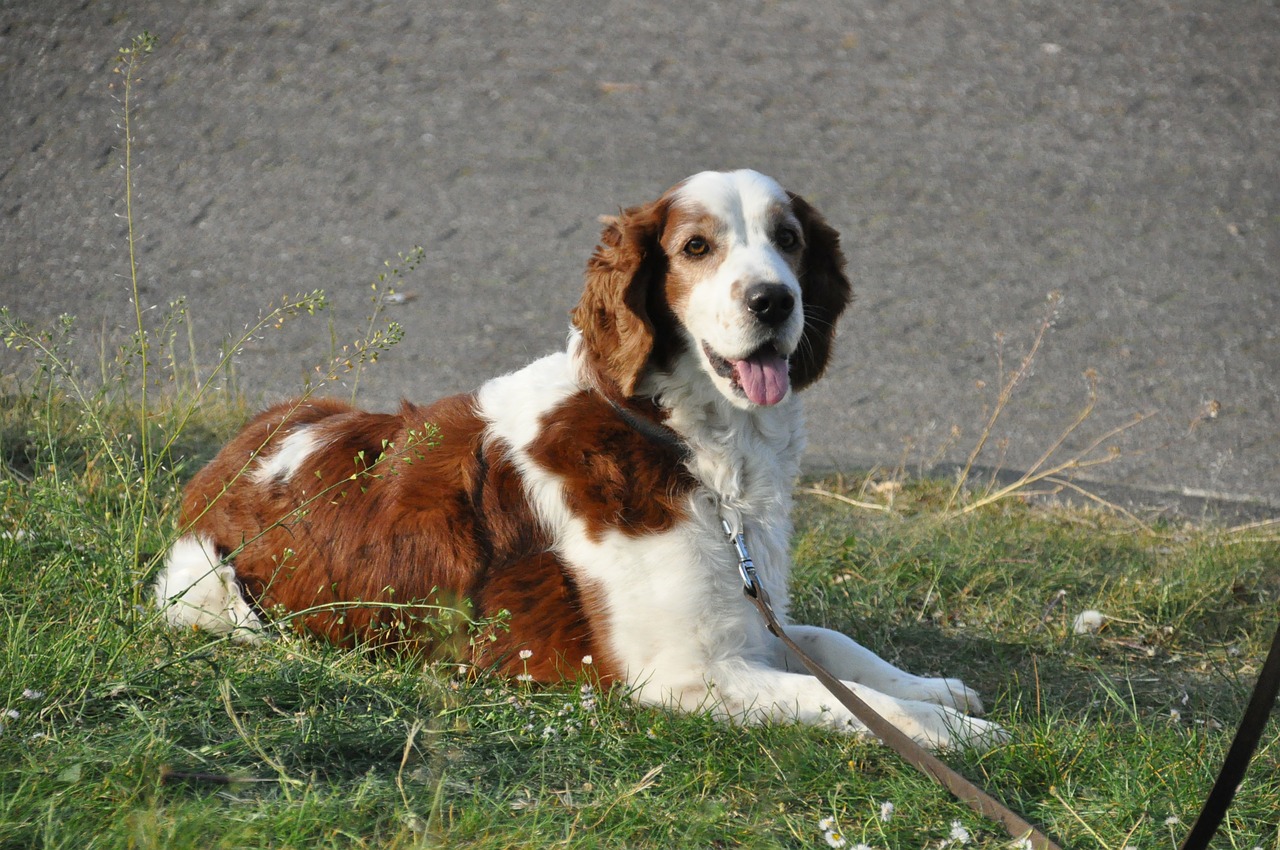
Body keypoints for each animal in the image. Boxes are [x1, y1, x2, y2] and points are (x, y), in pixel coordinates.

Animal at [157, 171, 998, 752]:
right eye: (697, 248)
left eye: (788, 239)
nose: (774, 300)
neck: (683, 444)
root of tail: (220, 466)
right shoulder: (686, 674)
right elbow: (840, 699)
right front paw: (951, 732)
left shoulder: (751, 618)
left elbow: (836, 647)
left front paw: (936, 687)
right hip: (205, 588)